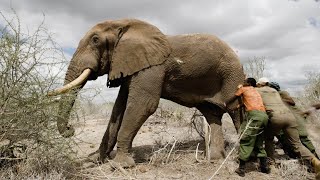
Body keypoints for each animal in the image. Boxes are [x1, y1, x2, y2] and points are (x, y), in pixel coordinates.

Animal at [48, 18, 245, 167]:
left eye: (95, 40)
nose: (70, 129)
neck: (125, 25)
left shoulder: (151, 68)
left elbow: (143, 105)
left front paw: (120, 165)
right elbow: (118, 109)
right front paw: (95, 159)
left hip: (232, 74)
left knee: (235, 109)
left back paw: (240, 160)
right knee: (212, 114)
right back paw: (214, 159)